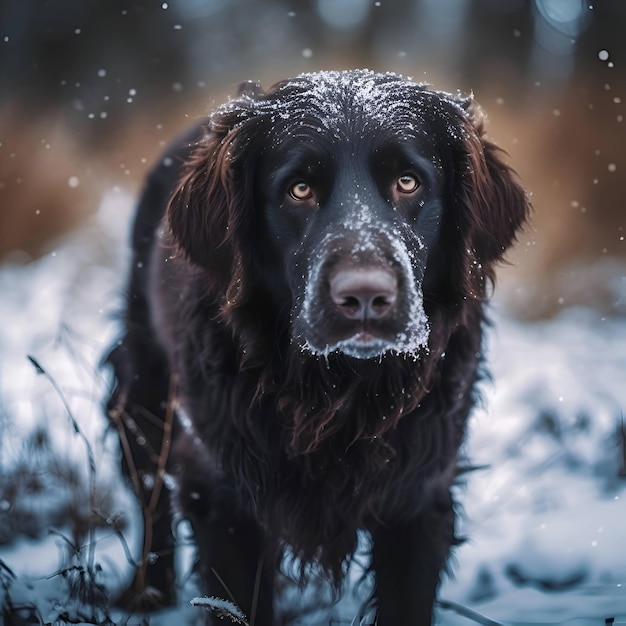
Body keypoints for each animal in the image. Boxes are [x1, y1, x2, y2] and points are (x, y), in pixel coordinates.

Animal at [106, 70, 528, 620]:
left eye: (408, 182)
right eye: (299, 189)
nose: (365, 297)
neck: (335, 393)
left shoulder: (418, 500)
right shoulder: (225, 500)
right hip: (145, 390)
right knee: (150, 495)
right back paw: (148, 593)